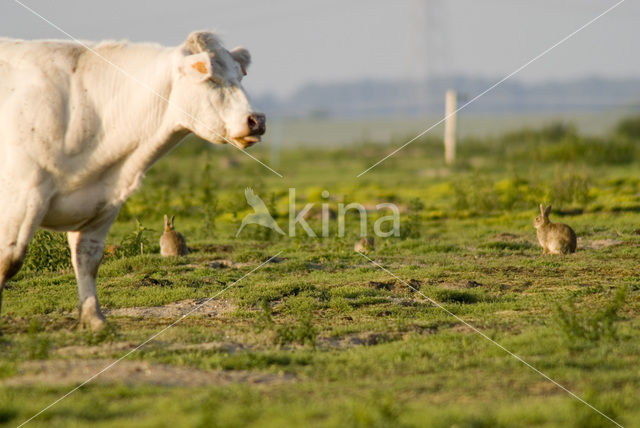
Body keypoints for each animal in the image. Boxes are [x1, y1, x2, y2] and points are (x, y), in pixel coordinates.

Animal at [0, 30, 264, 332]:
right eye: (210, 79)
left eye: (240, 76)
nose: (257, 120)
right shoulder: (24, 195)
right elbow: (9, 261)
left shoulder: (103, 201)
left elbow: (88, 260)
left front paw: (94, 320)